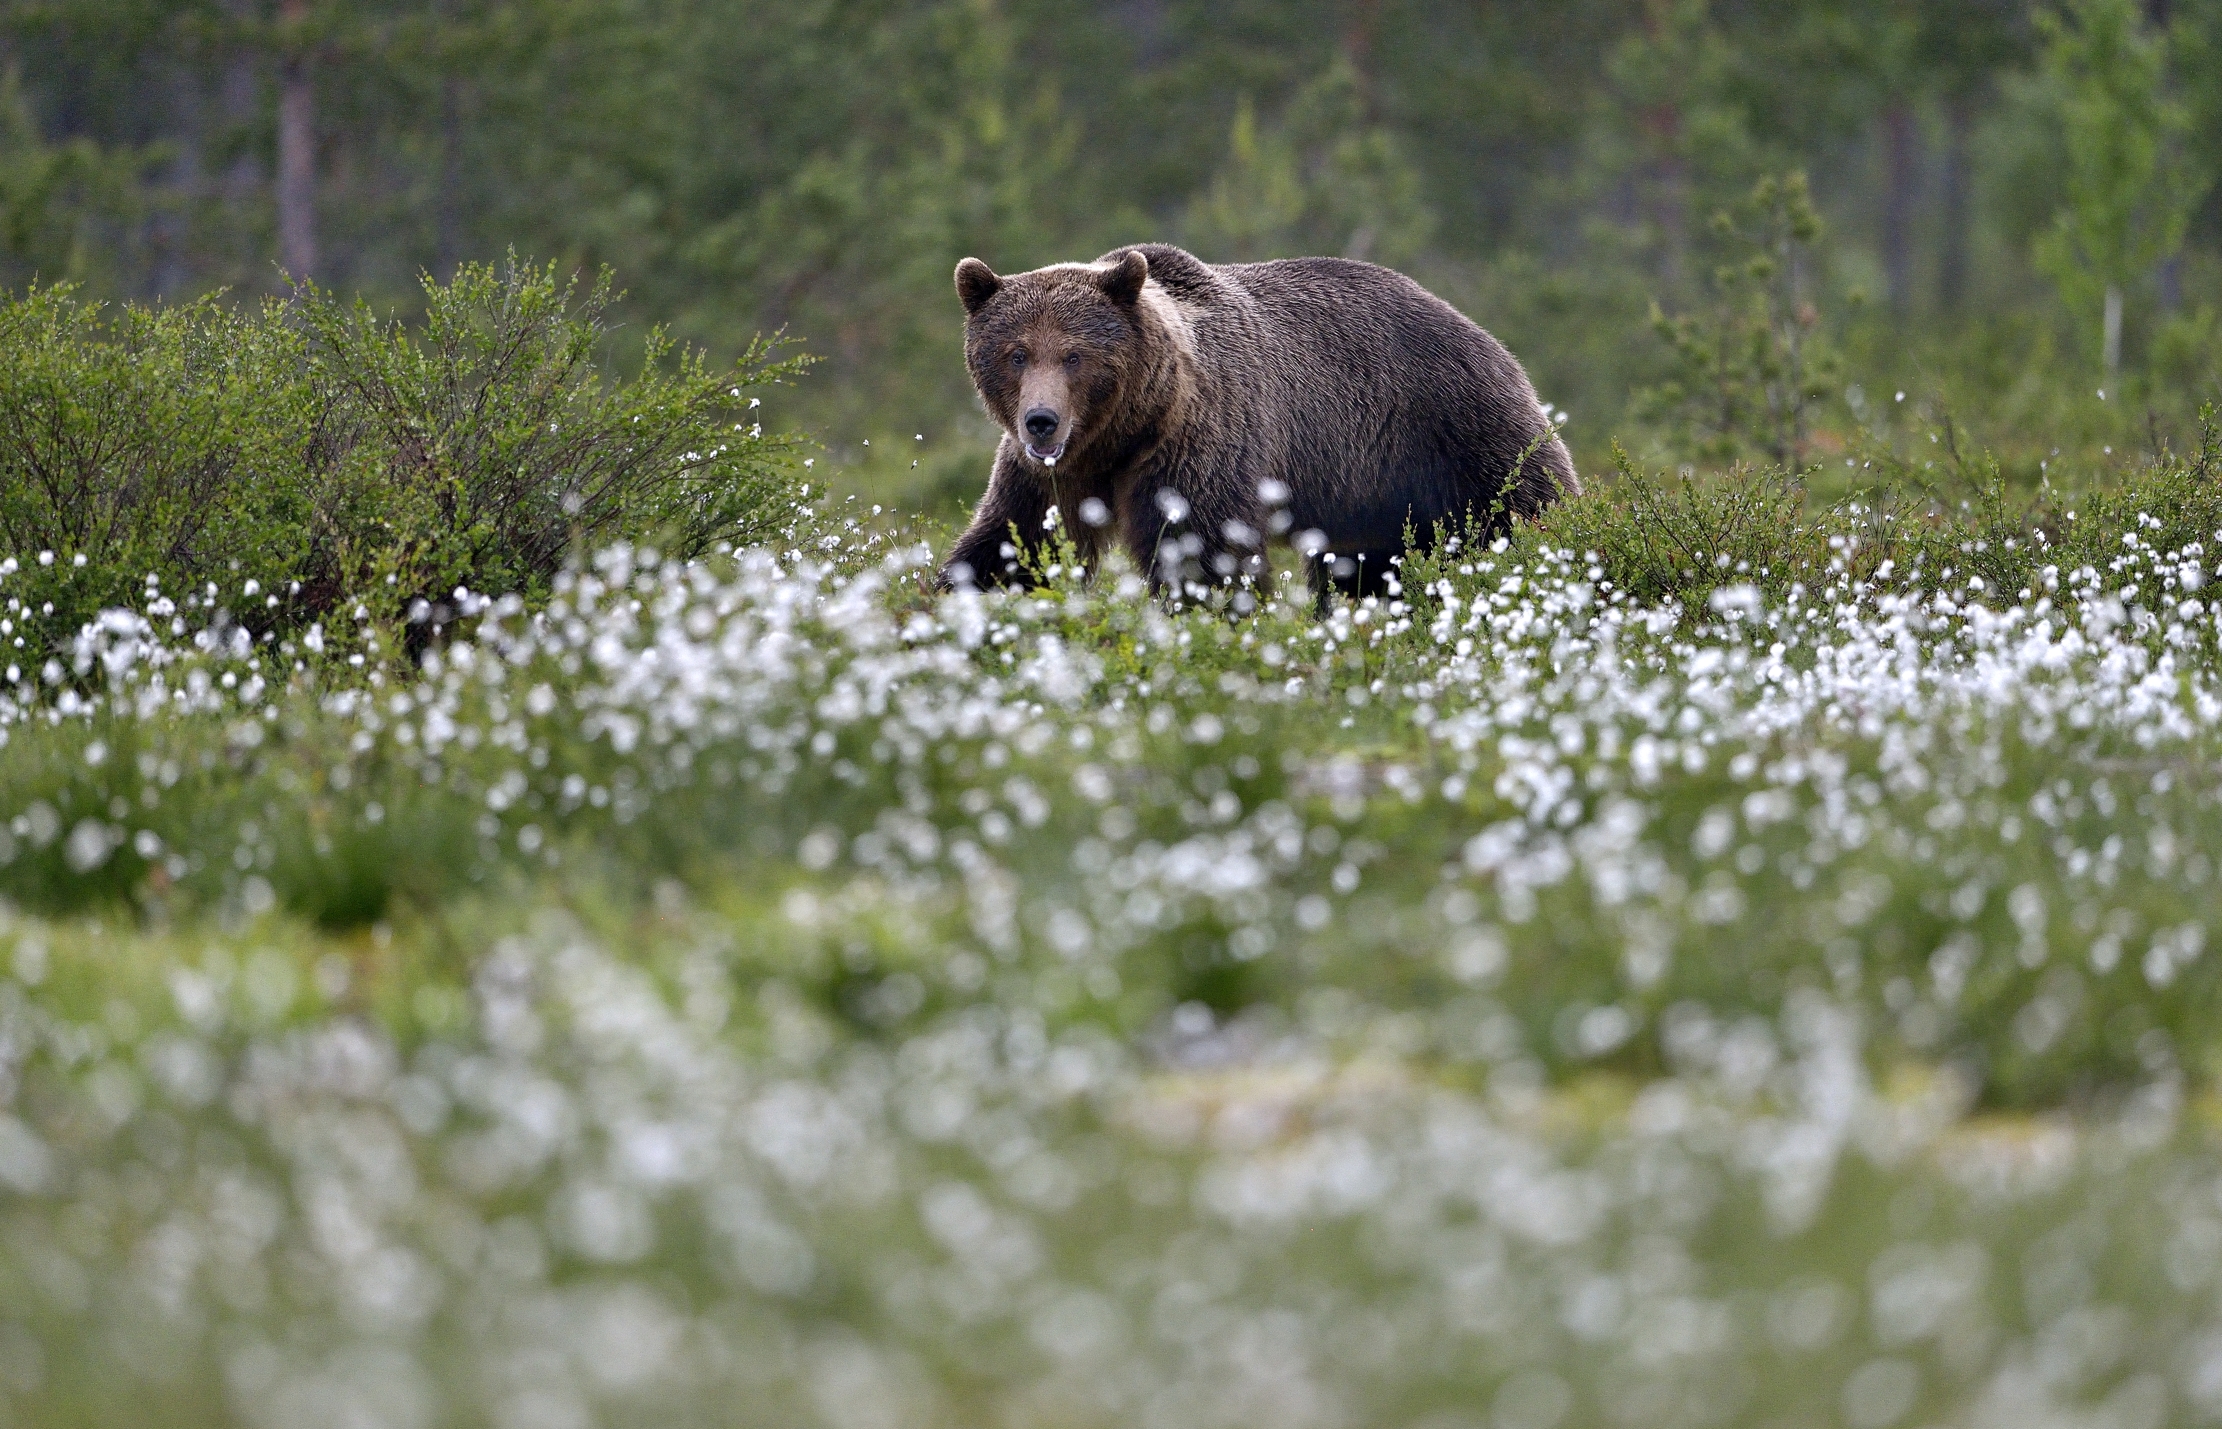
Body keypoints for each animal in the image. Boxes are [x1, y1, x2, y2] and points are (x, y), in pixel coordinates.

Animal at [938, 243, 1577, 604]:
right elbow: (1014, 540)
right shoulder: (1047, 475)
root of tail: (1485, 335)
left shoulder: (1197, 440)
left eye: (1075, 355)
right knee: (1368, 568)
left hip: (1457, 429)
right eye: (1016, 354)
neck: (1119, 435)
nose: (1041, 421)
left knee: (1525, 507)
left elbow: (1201, 547)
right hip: (1376, 496)